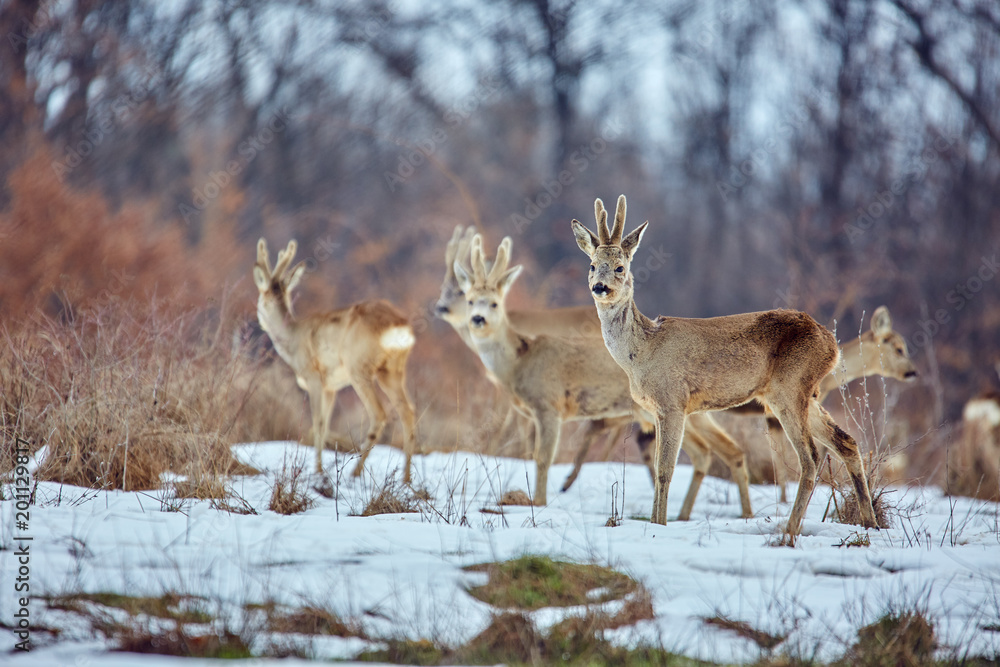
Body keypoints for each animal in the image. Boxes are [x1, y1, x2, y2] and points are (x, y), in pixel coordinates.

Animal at [253, 239, 418, 482]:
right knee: (408, 411)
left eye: (260, 299)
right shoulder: (331, 387)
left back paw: (355, 472)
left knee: (379, 413)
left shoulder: (314, 378)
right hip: (393, 371)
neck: (293, 338)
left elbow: (318, 423)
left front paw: (318, 471)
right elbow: (324, 427)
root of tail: (399, 325)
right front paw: (319, 469)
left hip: (359, 368)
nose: (260, 321)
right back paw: (406, 479)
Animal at [454, 233, 754, 518]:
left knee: (713, 451)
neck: (519, 362)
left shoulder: (549, 405)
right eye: (469, 301)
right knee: (722, 451)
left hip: (680, 410)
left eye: (494, 303)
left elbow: (542, 458)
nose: (477, 319)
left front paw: (538, 503)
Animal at [571, 195, 878, 540]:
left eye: (620, 267)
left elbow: (665, 470)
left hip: (789, 387)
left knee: (810, 456)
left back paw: (788, 532)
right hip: (803, 393)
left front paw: (659, 526)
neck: (642, 353)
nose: (599, 287)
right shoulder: (658, 410)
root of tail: (831, 343)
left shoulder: (672, 401)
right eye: (592, 265)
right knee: (846, 442)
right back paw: (869, 524)